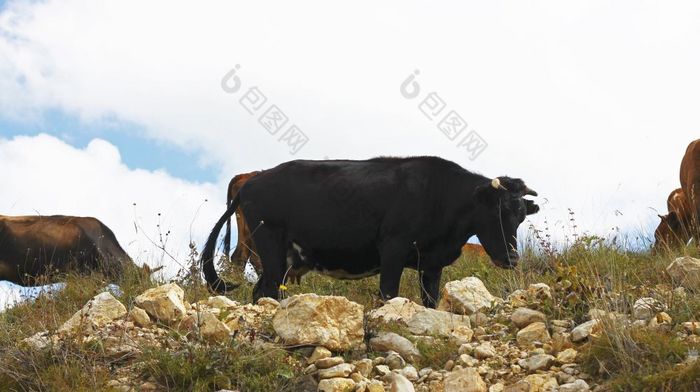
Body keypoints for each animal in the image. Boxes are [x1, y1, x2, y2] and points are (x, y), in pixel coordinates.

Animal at [200, 158, 540, 308]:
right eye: (496, 211)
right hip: (269, 247)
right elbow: (389, 291)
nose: (511, 258)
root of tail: (251, 181)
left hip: (282, 259)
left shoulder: (431, 263)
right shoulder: (393, 248)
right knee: (263, 290)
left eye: (520, 216)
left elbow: (430, 300)